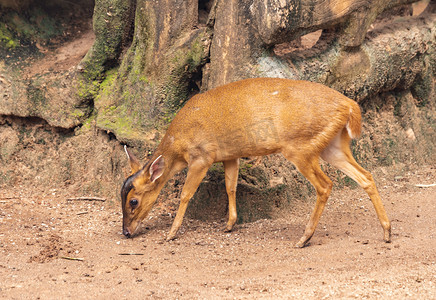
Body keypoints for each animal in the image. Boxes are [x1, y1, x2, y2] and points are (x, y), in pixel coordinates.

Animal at [120, 78, 392, 248]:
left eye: (133, 201)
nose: (125, 232)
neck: (178, 144)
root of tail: (350, 106)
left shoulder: (202, 156)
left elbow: (186, 194)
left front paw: (171, 233)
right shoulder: (229, 155)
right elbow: (230, 186)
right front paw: (229, 224)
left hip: (300, 147)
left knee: (325, 185)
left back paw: (304, 238)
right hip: (332, 145)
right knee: (366, 176)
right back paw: (387, 231)